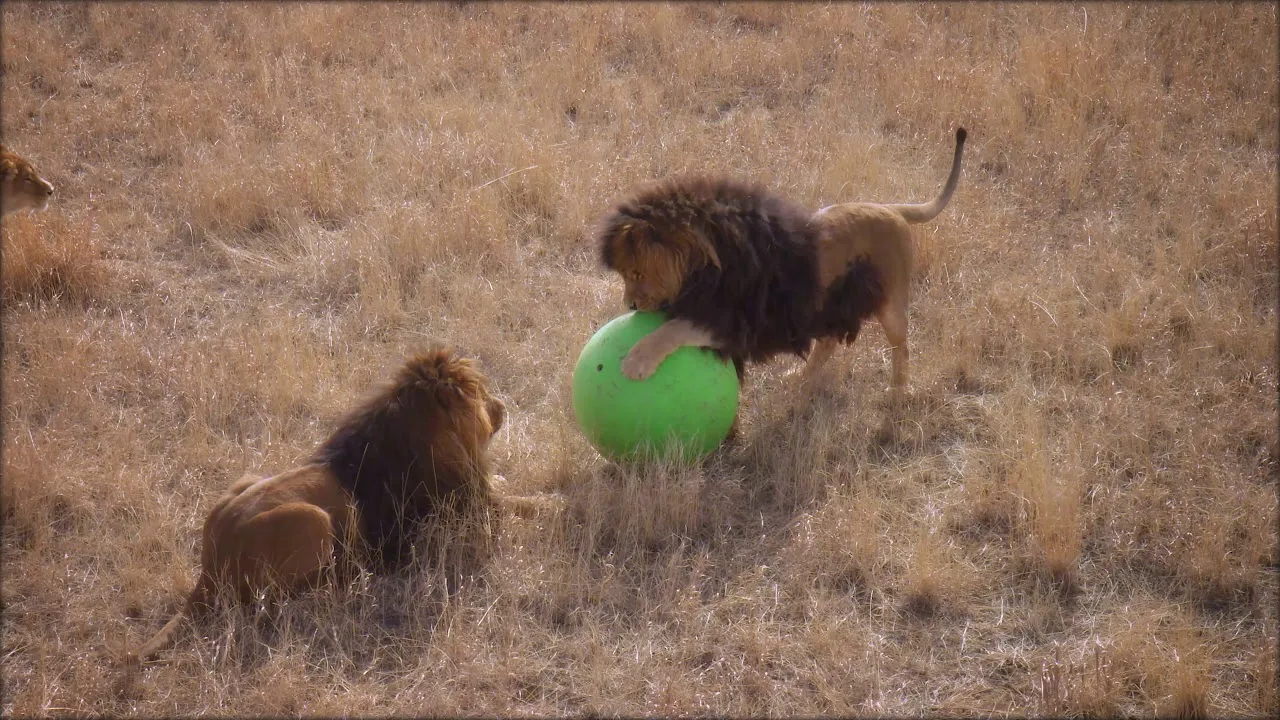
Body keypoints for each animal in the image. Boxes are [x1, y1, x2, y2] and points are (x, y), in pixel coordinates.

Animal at [127, 347, 552, 664]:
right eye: (481, 394)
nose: (502, 406)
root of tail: (208, 570)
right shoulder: (468, 514)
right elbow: (526, 504)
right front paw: (557, 504)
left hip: (246, 479)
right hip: (312, 519)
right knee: (273, 601)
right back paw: (346, 582)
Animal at [598, 128, 966, 395]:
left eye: (635, 272)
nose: (630, 306)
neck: (705, 268)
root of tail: (891, 209)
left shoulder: (738, 320)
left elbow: (672, 329)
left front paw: (636, 360)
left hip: (889, 306)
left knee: (901, 347)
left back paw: (898, 391)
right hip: (823, 305)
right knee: (828, 342)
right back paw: (800, 378)